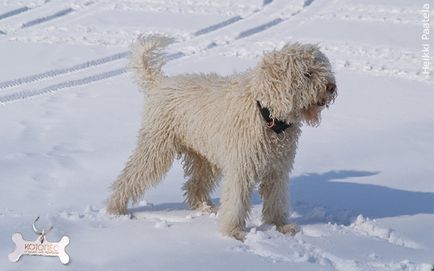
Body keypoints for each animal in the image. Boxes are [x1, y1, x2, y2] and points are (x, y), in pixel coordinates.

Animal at [107, 35, 338, 241]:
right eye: (307, 73)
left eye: (323, 68)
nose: (332, 87)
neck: (266, 113)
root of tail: (160, 83)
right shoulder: (242, 168)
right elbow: (237, 202)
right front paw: (233, 232)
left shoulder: (277, 169)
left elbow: (276, 201)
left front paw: (280, 226)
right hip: (156, 148)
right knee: (131, 175)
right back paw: (115, 208)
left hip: (204, 158)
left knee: (194, 186)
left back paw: (206, 207)